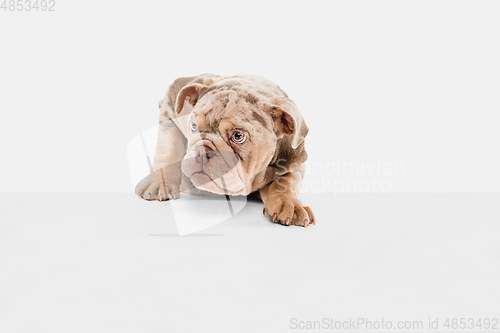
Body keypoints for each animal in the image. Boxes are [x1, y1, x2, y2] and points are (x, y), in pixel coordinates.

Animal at [136, 74, 316, 227]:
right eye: (193, 125)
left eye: (238, 136)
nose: (202, 151)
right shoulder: (168, 107)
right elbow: (169, 147)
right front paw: (160, 182)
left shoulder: (295, 162)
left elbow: (284, 183)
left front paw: (290, 205)